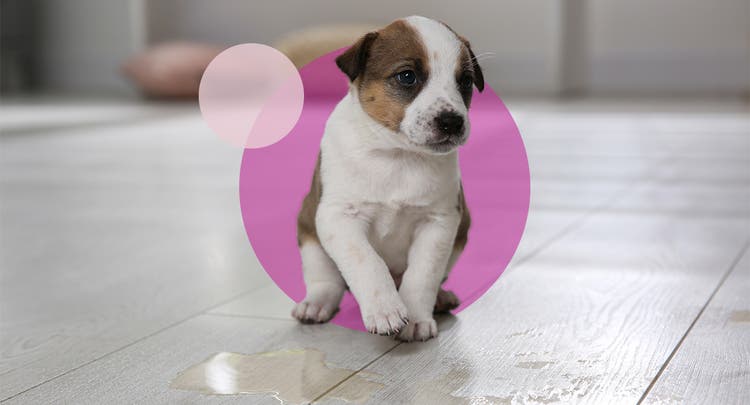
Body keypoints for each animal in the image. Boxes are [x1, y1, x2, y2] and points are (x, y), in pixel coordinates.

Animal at [290, 15, 484, 340]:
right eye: (407, 77)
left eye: (465, 82)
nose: (452, 121)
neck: (397, 155)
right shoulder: (338, 217)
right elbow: (367, 261)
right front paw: (385, 310)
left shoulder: (438, 223)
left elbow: (422, 275)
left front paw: (416, 318)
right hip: (310, 232)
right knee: (327, 280)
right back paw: (316, 304)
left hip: (462, 231)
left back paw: (440, 297)